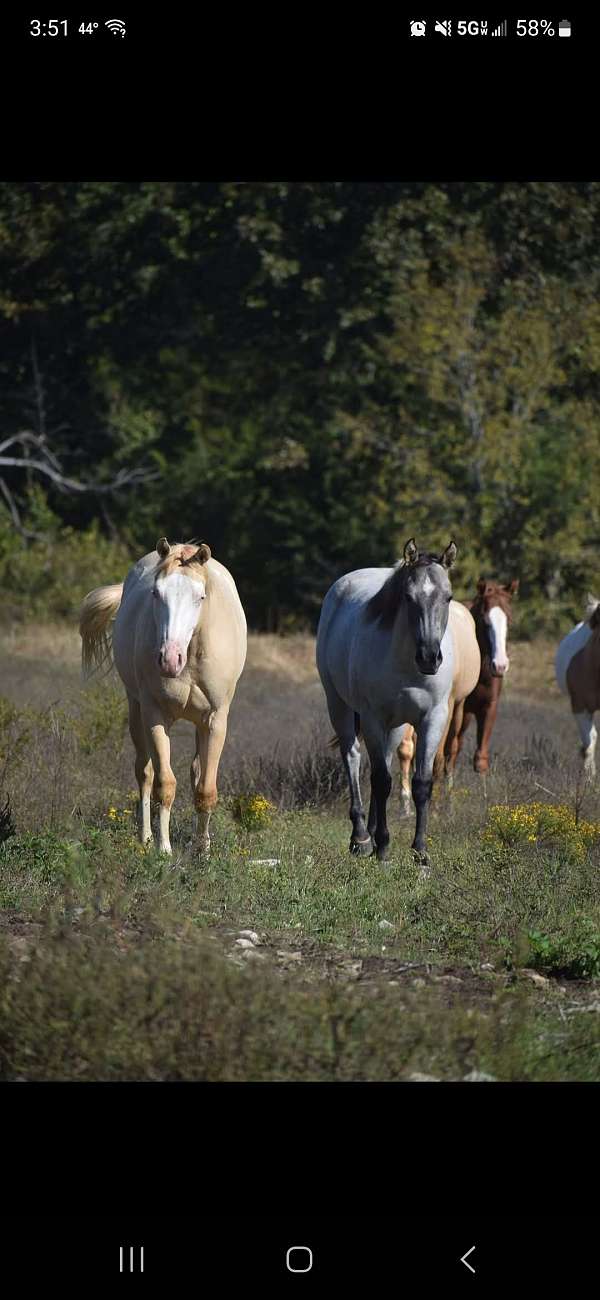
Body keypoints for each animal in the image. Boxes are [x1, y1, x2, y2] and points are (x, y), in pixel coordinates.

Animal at [79, 540, 245, 857]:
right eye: (156, 593)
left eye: (200, 597)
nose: (169, 659)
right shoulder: (155, 715)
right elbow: (164, 784)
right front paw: (163, 848)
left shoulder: (216, 720)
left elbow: (205, 789)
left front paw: (202, 852)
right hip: (136, 710)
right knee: (144, 772)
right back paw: (145, 837)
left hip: (199, 724)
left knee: (196, 773)